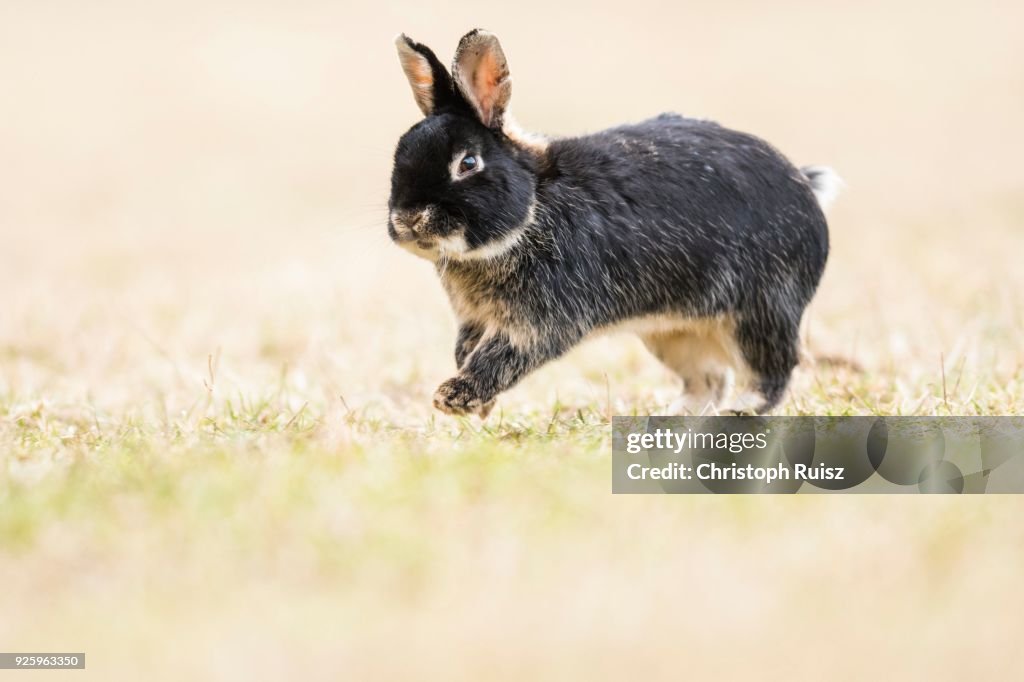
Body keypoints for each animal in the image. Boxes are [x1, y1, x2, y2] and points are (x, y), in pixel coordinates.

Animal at [388, 29, 838, 418]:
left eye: (467, 163)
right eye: (399, 154)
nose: (407, 220)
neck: (533, 207)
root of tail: (806, 190)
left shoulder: (540, 319)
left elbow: (500, 356)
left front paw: (453, 398)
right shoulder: (475, 320)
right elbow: (467, 351)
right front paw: (479, 408)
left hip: (758, 313)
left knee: (772, 370)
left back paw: (740, 410)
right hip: (674, 333)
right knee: (708, 380)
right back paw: (668, 417)